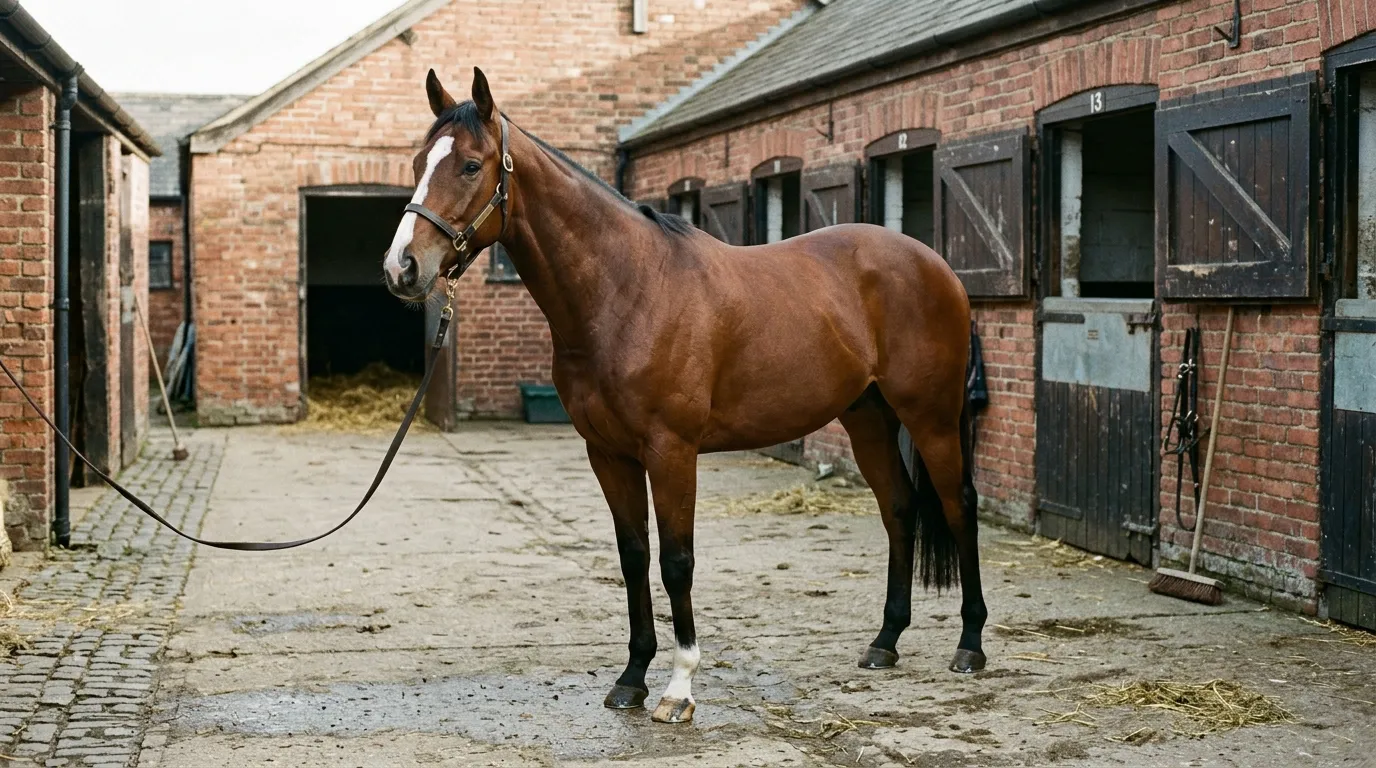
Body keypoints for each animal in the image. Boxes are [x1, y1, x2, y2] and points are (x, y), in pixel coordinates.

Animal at [382, 68, 987, 724]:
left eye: (470, 165)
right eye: (418, 161)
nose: (402, 268)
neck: (627, 290)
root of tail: (937, 266)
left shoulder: (671, 451)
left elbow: (677, 562)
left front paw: (678, 688)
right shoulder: (608, 453)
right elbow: (633, 557)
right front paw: (631, 678)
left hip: (930, 416)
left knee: (959, 505)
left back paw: (970, 644)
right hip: (868, 417)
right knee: (899, 507)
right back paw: (885, 641)